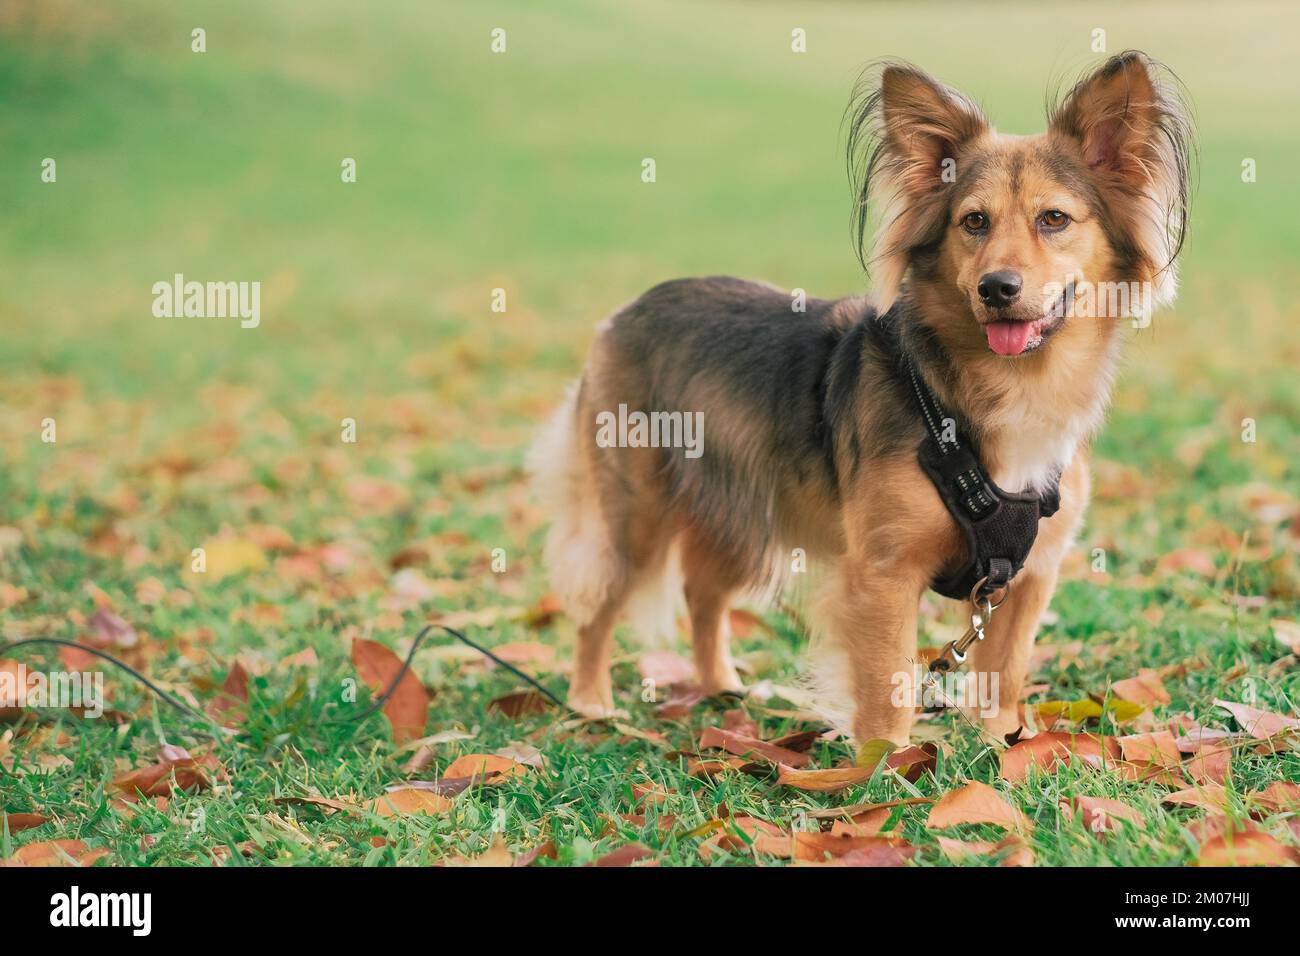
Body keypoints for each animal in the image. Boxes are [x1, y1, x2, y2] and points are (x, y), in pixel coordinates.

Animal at [525, 52, 1190, 749]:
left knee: (703, 594)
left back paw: (720, 686)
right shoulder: (884, 574)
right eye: (973, 221)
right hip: (638, 512)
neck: (1006, 391)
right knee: (599, 604)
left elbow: (1002, 676)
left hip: (740, 509)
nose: (997, 288)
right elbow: (886, 687)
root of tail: (625, 311)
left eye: (1054, 219)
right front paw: (885, 762)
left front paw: (997, 747)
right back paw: (591, 702)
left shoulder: (1026, 578)